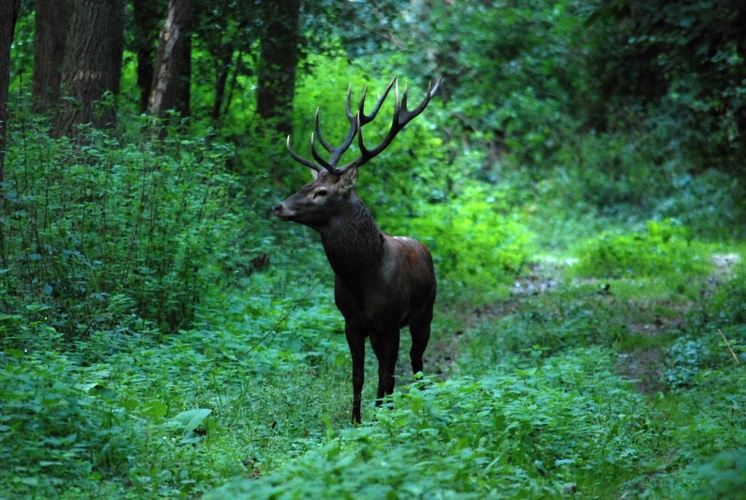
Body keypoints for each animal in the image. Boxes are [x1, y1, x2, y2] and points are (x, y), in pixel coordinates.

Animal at [272, 77, 436, 422]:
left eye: (321, 192)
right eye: (306, 186)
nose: (278, 207)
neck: (364, 279)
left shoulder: (390, 322)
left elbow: (387, 374)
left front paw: (381, 418)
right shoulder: (352, 322)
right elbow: (359, 375)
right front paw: (358, 420)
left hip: (425, 313)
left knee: (416, 363)